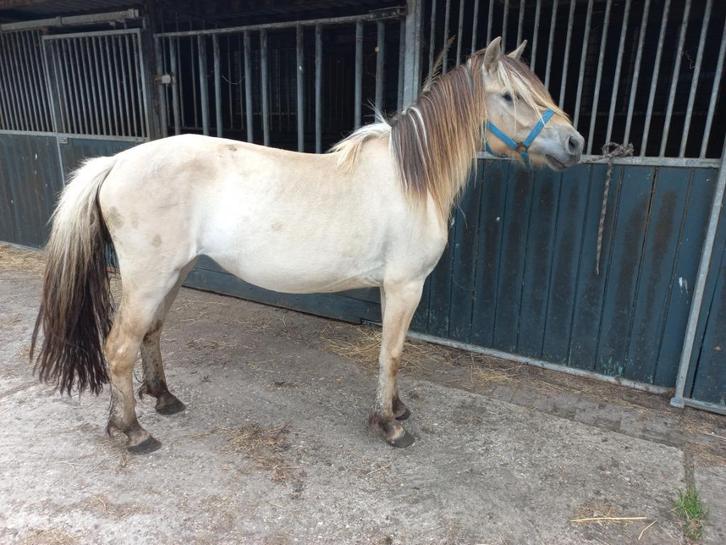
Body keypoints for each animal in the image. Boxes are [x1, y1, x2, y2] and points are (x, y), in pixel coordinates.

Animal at [31, 37, 584, 453]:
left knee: (151, 335)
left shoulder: (396, 288)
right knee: (120, 347)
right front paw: (390, 424)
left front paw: (396, 408)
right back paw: (131, 432)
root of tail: (117, 162)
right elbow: (392, 354)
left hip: (174, 274)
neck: (411, 180)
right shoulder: (405, 286)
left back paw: (163, 399)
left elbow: (392, 353)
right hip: (149, 278)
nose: (575, 144)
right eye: (510, 96)